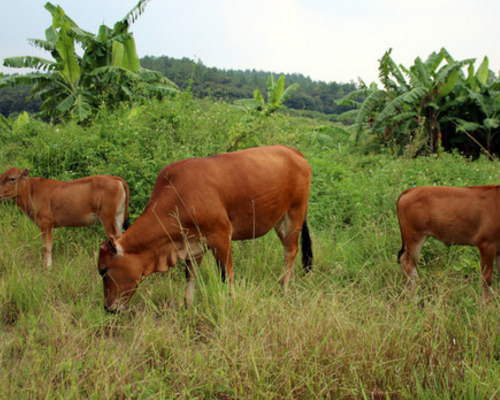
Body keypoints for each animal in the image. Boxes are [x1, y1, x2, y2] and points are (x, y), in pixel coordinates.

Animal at [0, 167, 129, 268]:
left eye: (12, 178)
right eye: (1, 176)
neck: (31, 191)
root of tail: (116, 179)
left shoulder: (46, 223)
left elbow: (47, 246)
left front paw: (48, 267)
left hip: (107, 217)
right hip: (118, 216)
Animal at [97, 145, 312, 310]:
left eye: (104, 270)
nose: (107, 307)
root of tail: (294, 151)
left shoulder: (221, 236)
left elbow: (226, 275)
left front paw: (231, 303)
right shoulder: (192, 245)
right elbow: (190, 277)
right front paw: (188, 306)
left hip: (295, 213)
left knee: (291, 250)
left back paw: (284, 288)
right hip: (281, 221)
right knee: (290, 249)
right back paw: (291, 283)